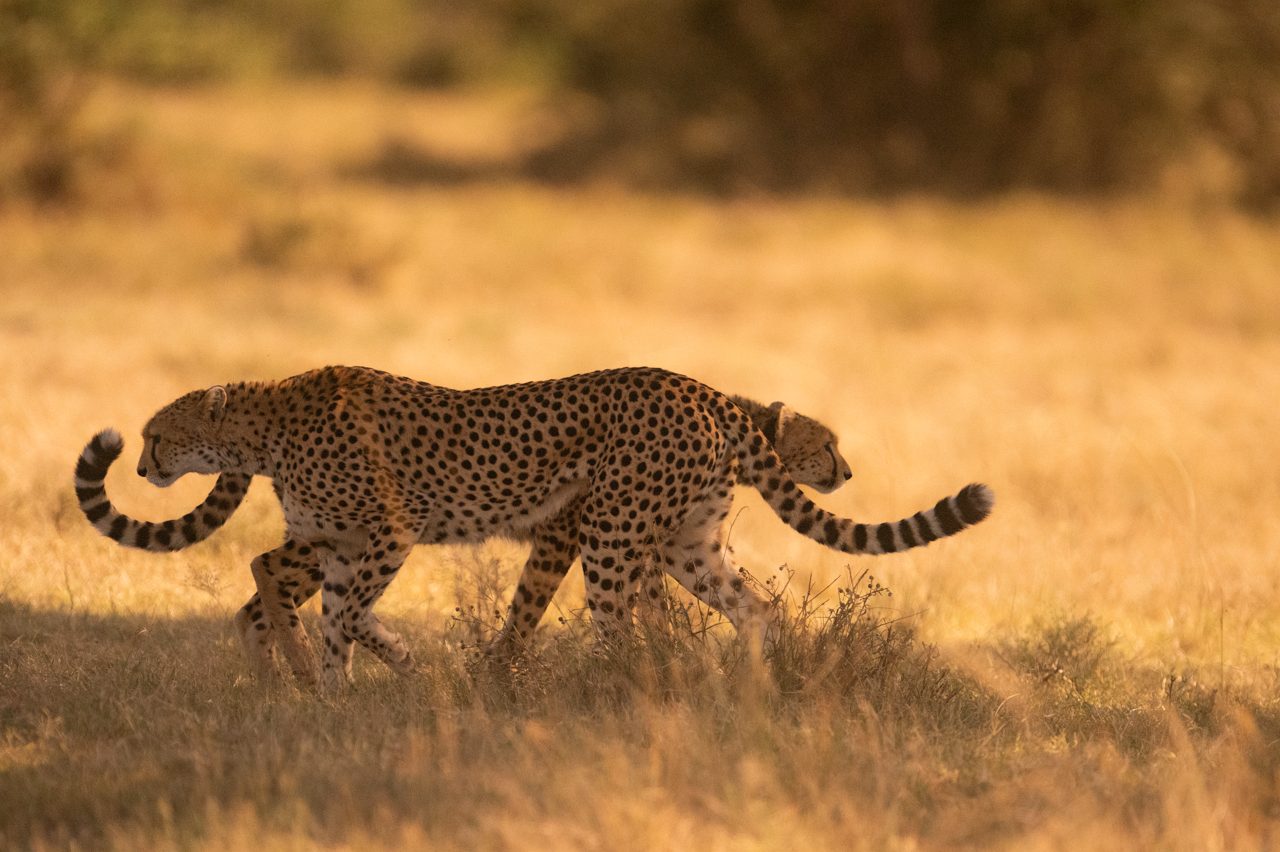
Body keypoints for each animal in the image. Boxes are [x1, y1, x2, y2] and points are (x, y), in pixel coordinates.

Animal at [75, 365, 993, 691]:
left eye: (157, 434)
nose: (145, 464)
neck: (265, 420)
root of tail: (697, 388)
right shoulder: (353, 540)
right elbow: (333, 608)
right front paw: (341, 687)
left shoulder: (389, 532)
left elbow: (349, 613)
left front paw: (351, 683)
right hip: (674, 542)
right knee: (746, 610)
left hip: (622, 537)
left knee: (637, 622)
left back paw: (637, 695)